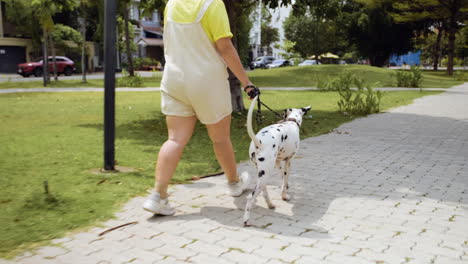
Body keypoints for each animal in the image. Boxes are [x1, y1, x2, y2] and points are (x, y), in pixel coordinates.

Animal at [241, 96, 310, 226]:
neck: (291, 121)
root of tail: (258, 141)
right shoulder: (288, 161)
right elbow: (285, 177)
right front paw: (284, 196)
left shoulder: (278, 162)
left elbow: (282, 176)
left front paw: (285, 186)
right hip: (265, 174)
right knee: (250, 198)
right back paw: (246, 220)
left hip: (262, 173)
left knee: (264, 192)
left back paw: (270, 204)